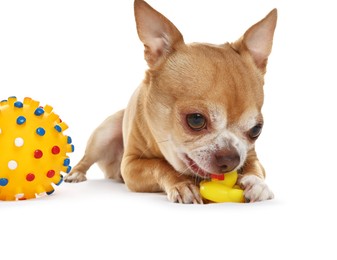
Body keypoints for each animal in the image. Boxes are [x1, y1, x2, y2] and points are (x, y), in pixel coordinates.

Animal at [64, 0, 276, 203]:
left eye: (256, 130)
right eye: (196, 120)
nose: (231, 158)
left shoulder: (250, 156)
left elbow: (255, 168)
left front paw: (257, 184)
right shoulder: (131, 165)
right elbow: (160, 165)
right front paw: (182, 184)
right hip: (103, 135)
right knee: (86, 158)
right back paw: (75, 174)